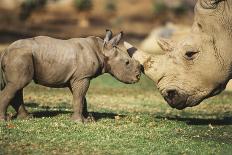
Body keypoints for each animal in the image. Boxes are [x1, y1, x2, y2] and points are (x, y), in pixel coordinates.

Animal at [0, 30, 141, 121]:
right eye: (127, 62)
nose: (138, 76)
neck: (102, 49)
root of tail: (5, 51)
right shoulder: (82, 77)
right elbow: (79, 97)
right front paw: (80, 121)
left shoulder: (77, 77)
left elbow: (82, 98)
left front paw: (88, 118)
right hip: (20, 56)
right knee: (18, 84)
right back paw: (5, 120)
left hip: (19, 56)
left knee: (17, 86)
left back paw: (27, 118)